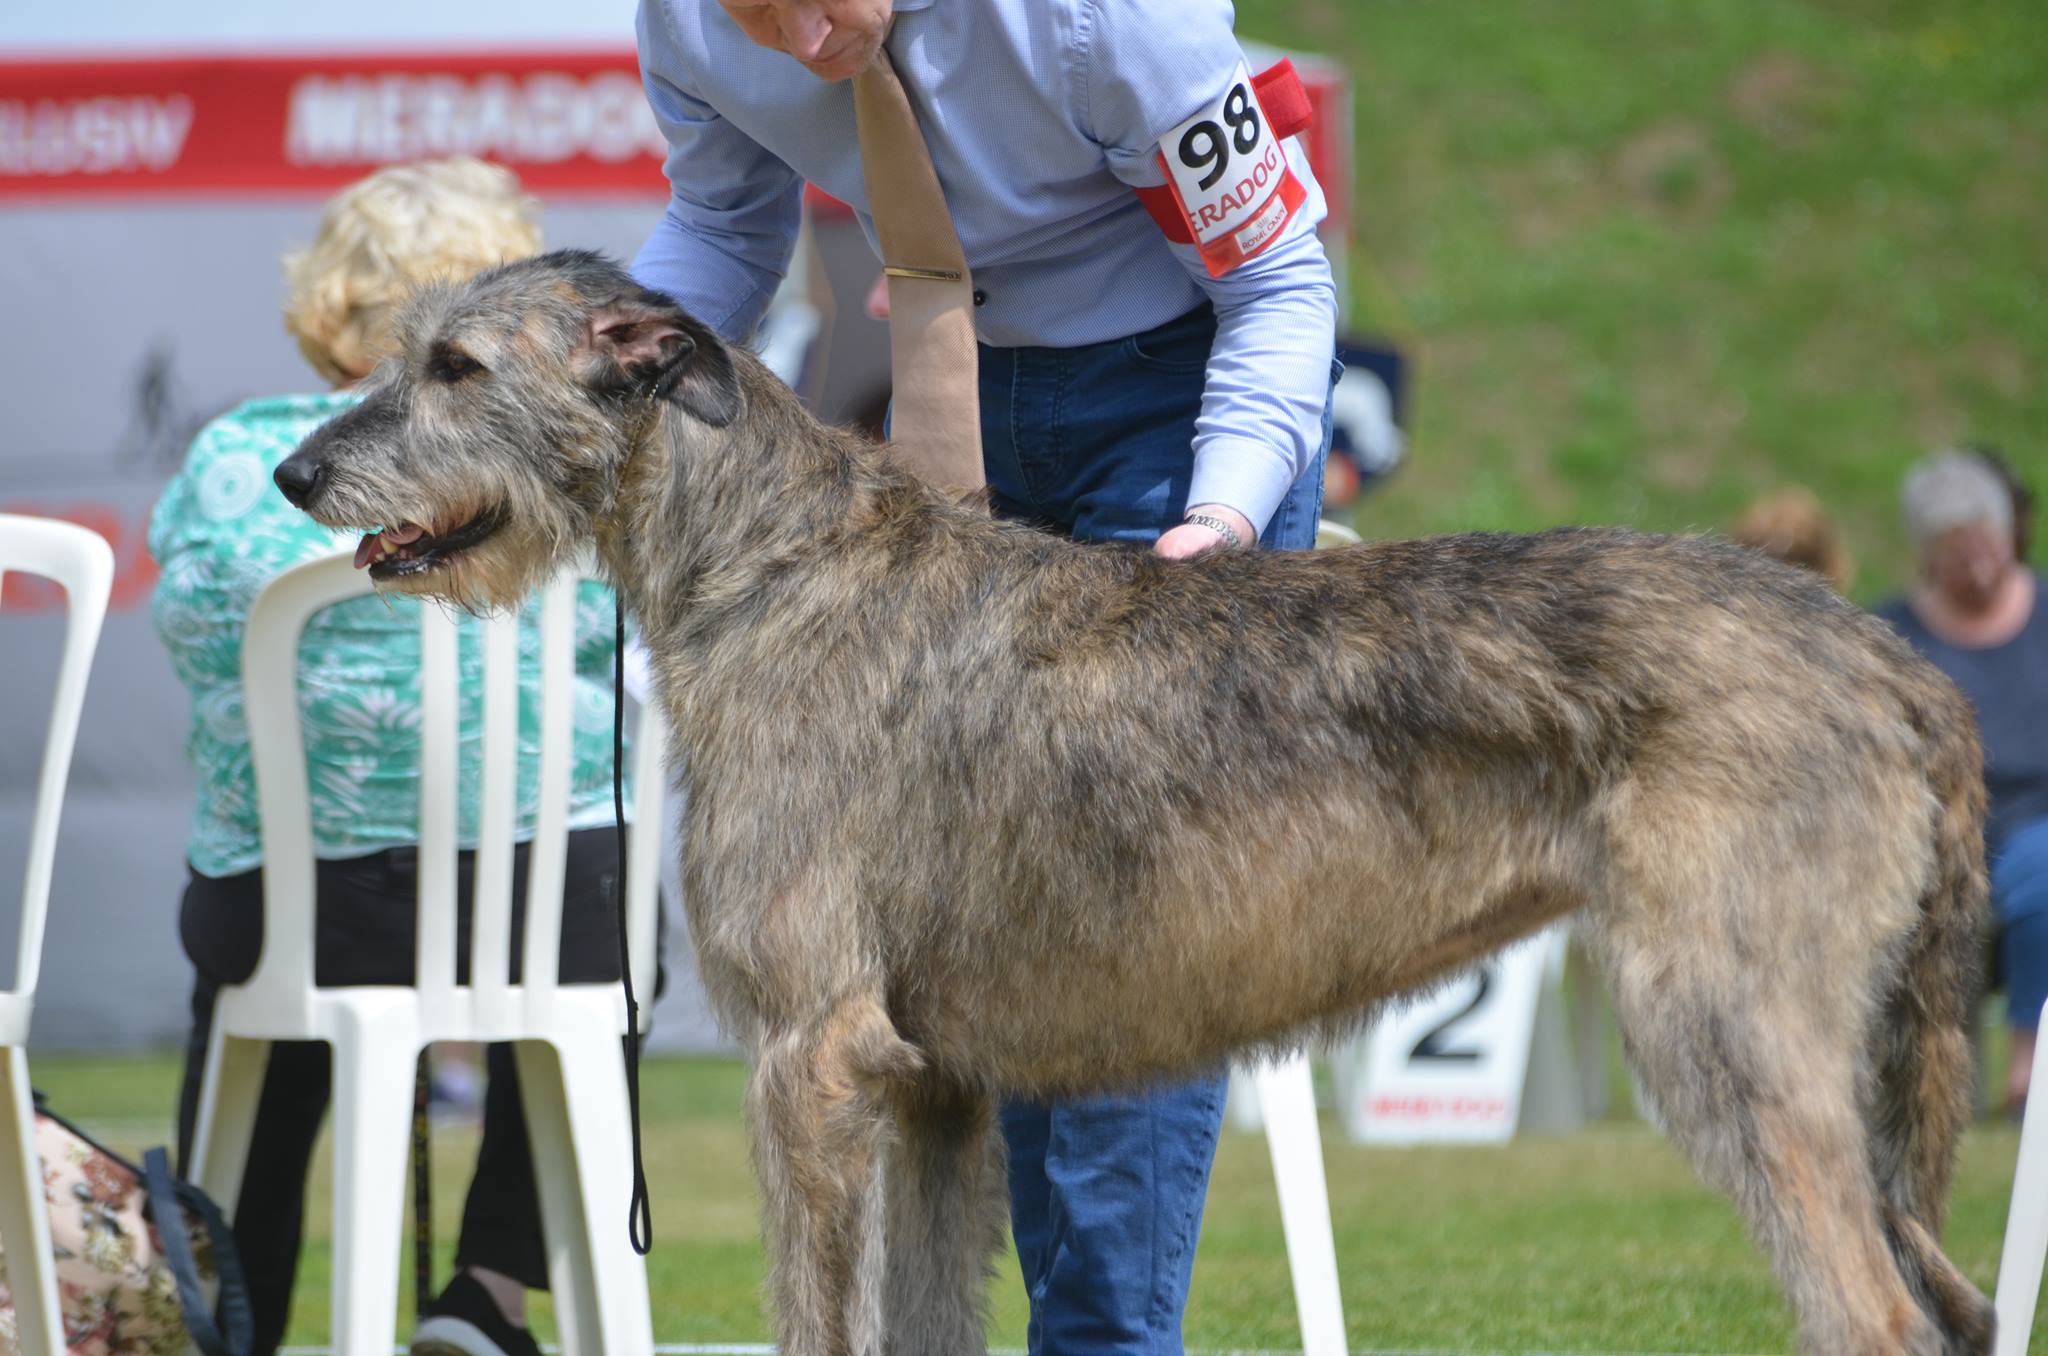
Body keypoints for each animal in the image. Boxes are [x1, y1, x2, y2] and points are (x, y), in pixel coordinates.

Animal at [280, 255, 1990, 1356]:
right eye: (403, 350)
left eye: (453, 368)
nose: (298, 474)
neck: (770, 565)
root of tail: (1883, 651)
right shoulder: (933, 1087)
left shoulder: (810, 1058)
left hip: (1724, 1017)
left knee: (1878, 1317)